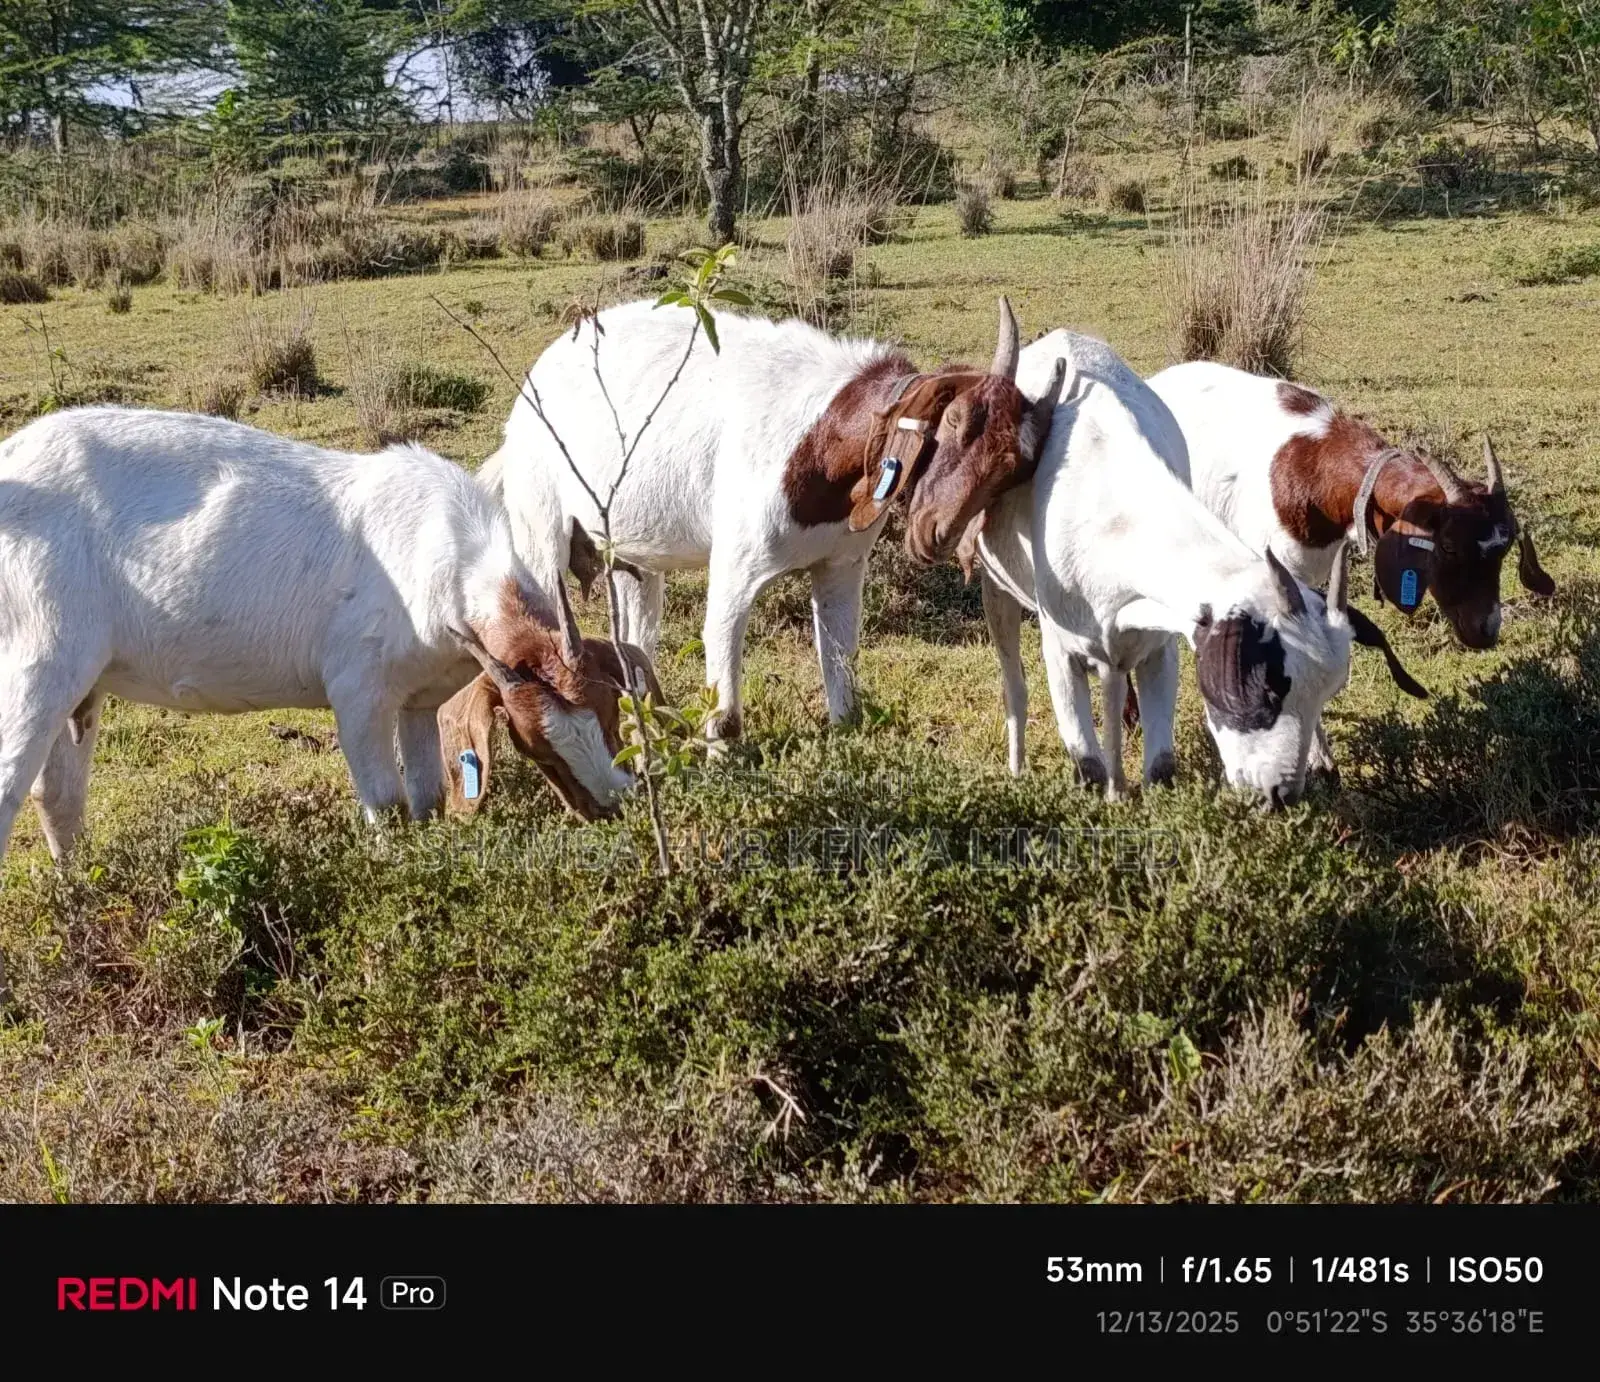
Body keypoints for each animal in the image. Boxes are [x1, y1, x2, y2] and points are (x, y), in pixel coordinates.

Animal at [0, 407, 650, 865]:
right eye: (534, 746)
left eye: (611, 711)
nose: (615, 808)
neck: (440, 550)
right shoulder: (359, 693)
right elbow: (388, 805)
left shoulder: (419, 699)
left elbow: (427, 799)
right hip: (37, 662)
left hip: (81, 686)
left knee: (57, 797)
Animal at [488, 297, 1066, 746]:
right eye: (952, 421)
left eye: (1016, 467)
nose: (937, 534)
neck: (826, 440)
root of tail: (535, 378)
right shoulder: (735, 565)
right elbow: (723, 686)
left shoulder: (842, 565)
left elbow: (841, 672)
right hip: (539, 526)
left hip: (631, 556)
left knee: (636, 632)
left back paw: (640, 725)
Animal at [966, 331, 1380, 809]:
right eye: (1267, 684)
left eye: (1327, 693)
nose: (1278, 794)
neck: (1113, 507)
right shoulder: (1061, 650)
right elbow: (1088, 765)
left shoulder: (1159, 645)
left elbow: (1161, 767)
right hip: (997, 589)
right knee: (1014, 679)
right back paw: (1019, 768)